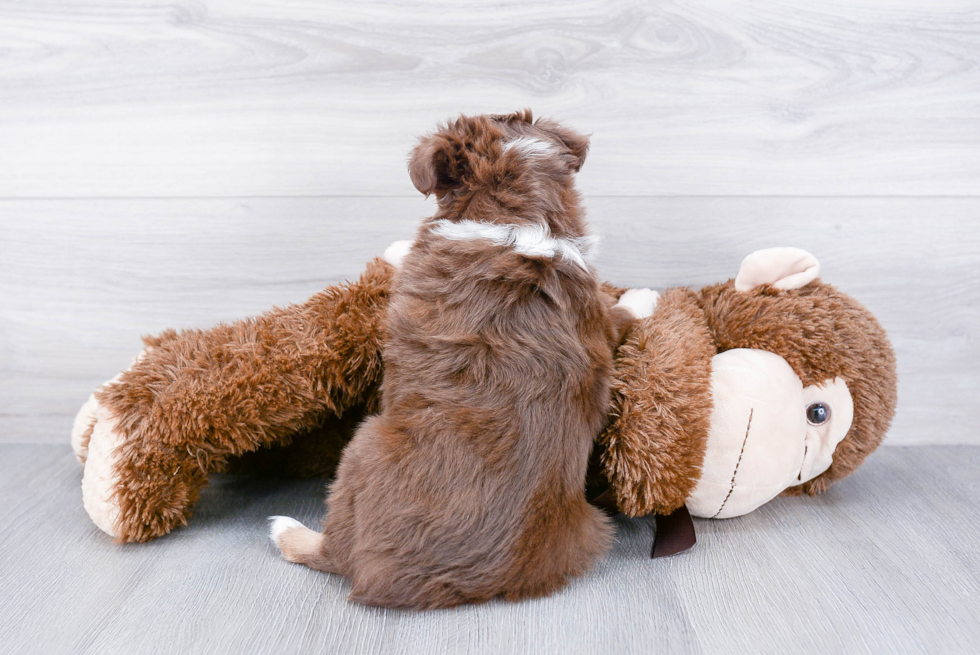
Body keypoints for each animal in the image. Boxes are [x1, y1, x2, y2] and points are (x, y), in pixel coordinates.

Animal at [270, 111, 636, 608]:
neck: (518, 217)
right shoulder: (596, 320)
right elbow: (616, 314)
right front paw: (644, 298)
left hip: (361, 450)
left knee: (332, 552)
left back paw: (286, 529)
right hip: (586, 530)